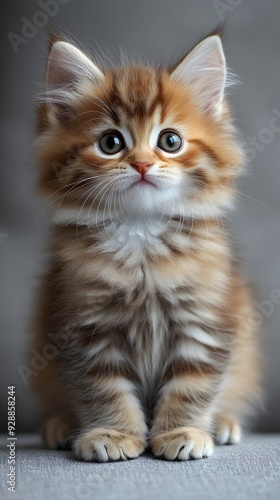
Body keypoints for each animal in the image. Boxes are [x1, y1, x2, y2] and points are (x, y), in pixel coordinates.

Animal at [33, 32, 262, 460]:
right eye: (110, 142)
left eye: (169, 141)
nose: (141, 164)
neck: (141, 235)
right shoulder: (86, 327)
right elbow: (104, 390)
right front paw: (113, 433)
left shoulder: (204, 320)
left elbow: (192, 386)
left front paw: (181, 432)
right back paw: (61, 426)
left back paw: (223, 424)